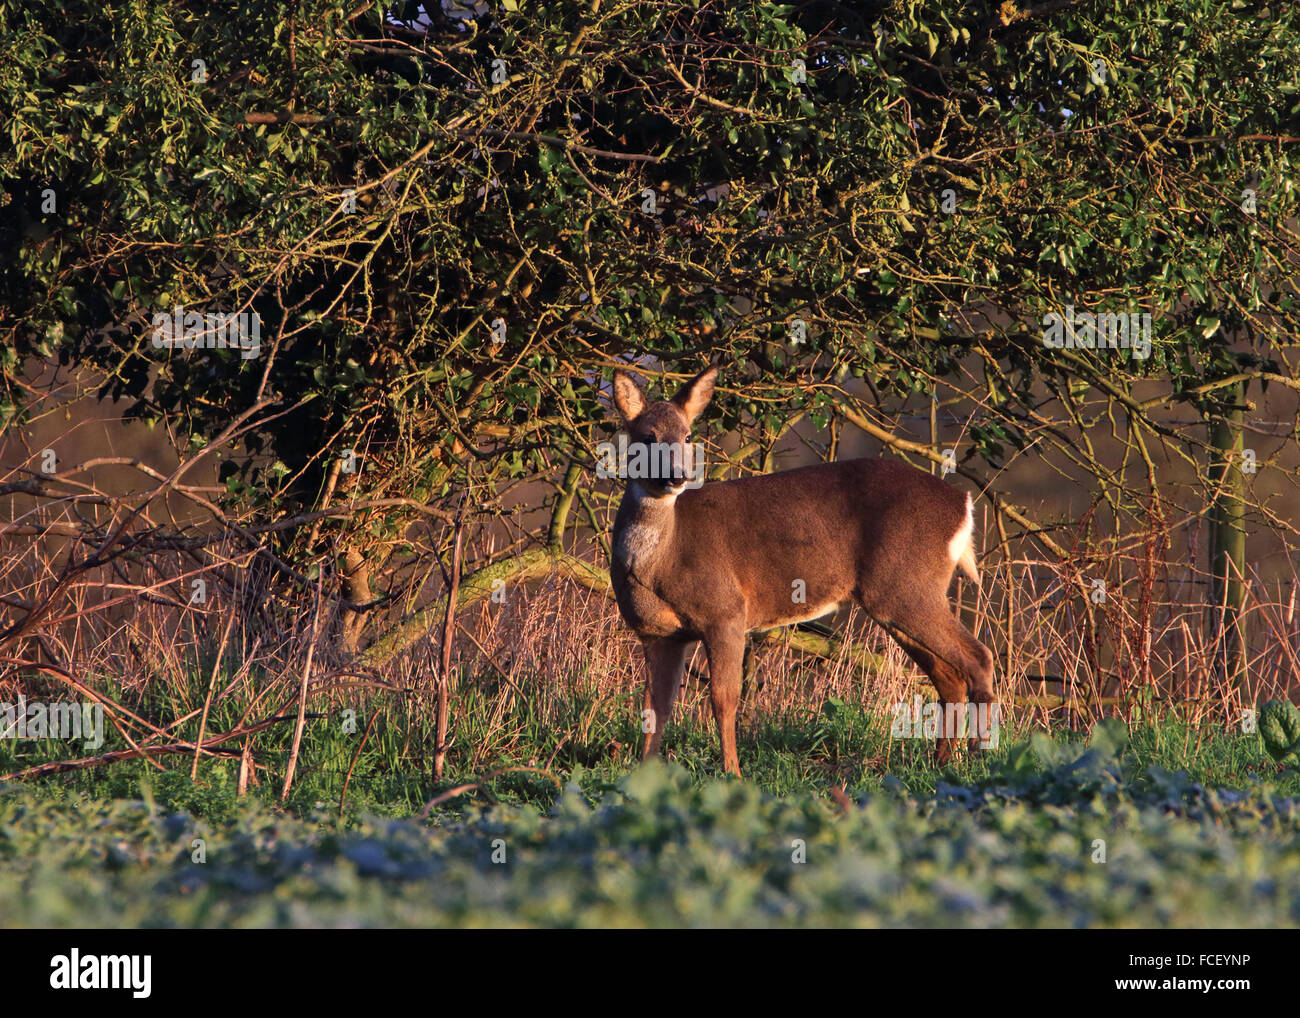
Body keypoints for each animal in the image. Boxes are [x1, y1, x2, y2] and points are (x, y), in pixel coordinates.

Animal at [608, 366, 993, 774]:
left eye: (687, 435)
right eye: (648, 436)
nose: (677, 476)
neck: (661, 560)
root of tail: (963, 504)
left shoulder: (726, 611)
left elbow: (723, 699)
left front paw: (732, 772)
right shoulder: (657, 633)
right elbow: (655, 708)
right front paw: (643, 774)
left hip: (907, 583)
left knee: (979, 657)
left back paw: (979, 754)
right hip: (899, 595)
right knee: (949, 674)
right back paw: (944, 761)